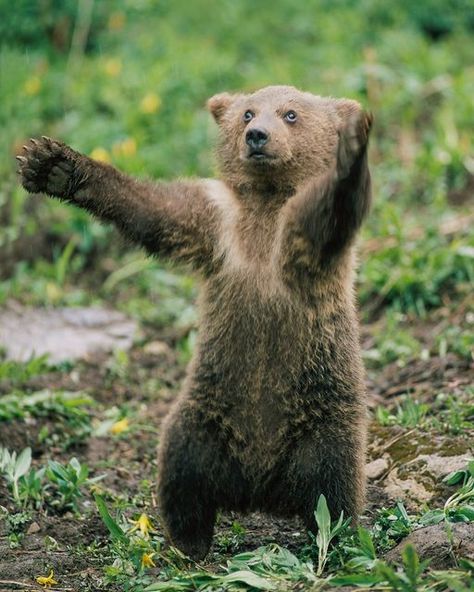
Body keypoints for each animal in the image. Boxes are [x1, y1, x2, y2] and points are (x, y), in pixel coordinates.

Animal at [17, 83, 374, 560]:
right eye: (247, 112)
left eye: (291, 113)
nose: (257, 136)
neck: (264, 205)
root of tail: (261, 488)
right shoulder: (216, 223)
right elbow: (153, 211)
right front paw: (52, 164)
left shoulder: (297, 243)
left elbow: (332, 213)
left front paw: (353, 154)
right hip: (205, 418)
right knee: (183, 475)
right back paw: (189, 542)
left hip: (321, 419)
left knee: (331, 488)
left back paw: (333, 539)